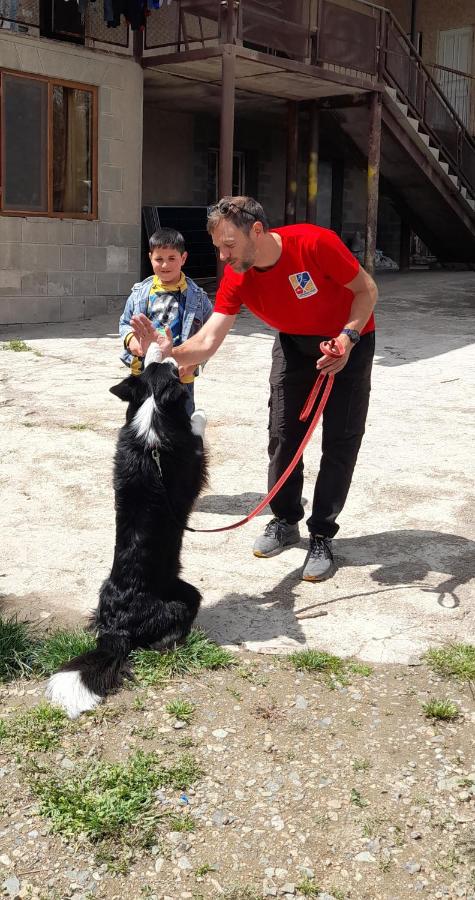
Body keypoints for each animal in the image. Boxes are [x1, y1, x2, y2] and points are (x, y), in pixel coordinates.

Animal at [45, 342, 207, 720]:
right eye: (170, 369)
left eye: (150, 365)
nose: (163, 347)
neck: (151, 410)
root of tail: (116, 629)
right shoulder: (194, 462)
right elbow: (198, 430)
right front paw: (200, 415)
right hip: (183, 597)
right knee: (175, 622)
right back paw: (179, 640)